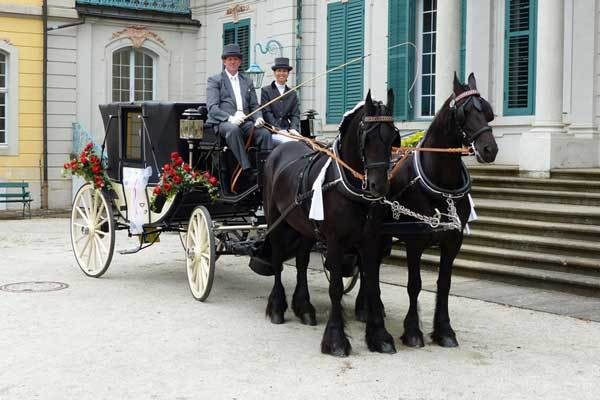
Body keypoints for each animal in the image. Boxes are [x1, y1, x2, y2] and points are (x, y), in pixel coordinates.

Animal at [262, 90, 398, 356]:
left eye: (392, 137)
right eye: (366, 136)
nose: (379, 186)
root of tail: (278, 151)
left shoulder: (371, 241)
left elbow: (373, 286)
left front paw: (379, 335)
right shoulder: (335, 242)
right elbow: (335, 287)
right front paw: (335, 339)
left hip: (303, 227)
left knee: (301, 263)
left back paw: (304, 307)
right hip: (276, 221)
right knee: (278, 261)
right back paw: (277, 307)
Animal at [356, 73, 496, 348]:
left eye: (487, 111)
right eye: (464, 112)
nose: (490, 149)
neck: (442, 186)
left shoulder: (453, 240)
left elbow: (444, 284)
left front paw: (444, 330)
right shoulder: (415, 240)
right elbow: (414, 284)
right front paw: (412, 330)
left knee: (370, 265)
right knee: (368, 265)